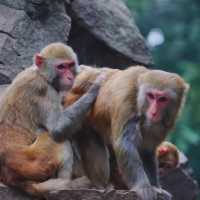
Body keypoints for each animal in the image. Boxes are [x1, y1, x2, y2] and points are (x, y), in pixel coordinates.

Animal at [0, 42, 106, 195]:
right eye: (61, 67)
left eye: (70, 65)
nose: (70, 77)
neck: (42, 74)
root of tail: (10, 176)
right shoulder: (43, 90)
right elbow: (57, 129)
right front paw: (95, 87)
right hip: (36, 164)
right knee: (58, 140)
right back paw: (66, 185)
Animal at [63, 65, 189, 199]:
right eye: (151, 96)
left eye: (163, 99)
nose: (154, 112)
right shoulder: (126, 98)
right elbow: (124, 144)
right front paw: (142, 187)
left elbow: (147, 150)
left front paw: (155, 187)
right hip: (73, 104)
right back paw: (100, 185)